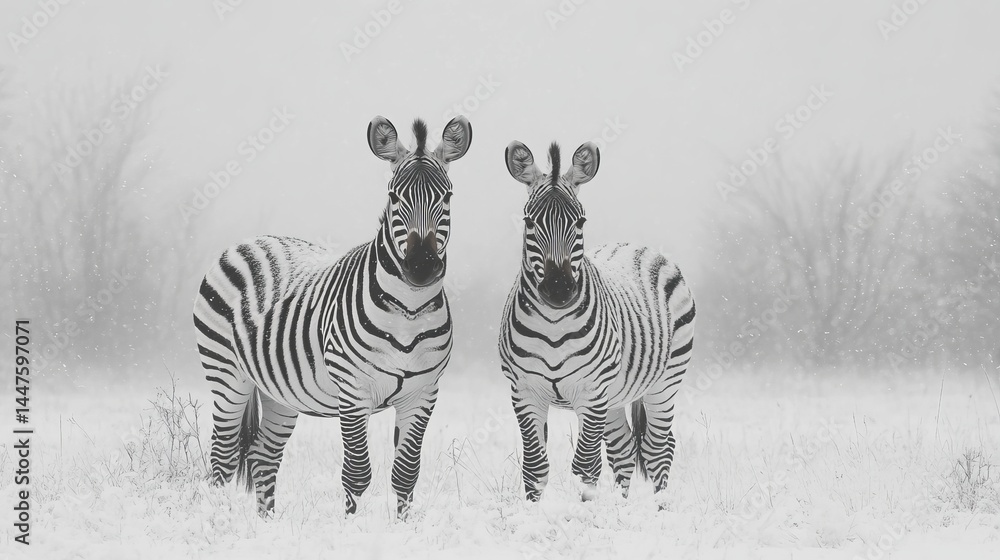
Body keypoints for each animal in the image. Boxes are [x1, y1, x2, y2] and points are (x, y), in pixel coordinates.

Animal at [193, 115, 472, 519]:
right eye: (394, 196)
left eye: (447, 196)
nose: (421, 267)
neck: (409, 310)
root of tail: (252, 239)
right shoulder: (353, 390)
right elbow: (357, 473)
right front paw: (350, 527)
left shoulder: (423, 392)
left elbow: (406, 473)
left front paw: (405, 528)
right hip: (226, 374)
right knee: (223, 456)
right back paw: (218, 518)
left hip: (279, 392)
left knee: (263, 456)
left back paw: (266, 524)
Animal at [498, 140, 696, 506]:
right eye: (529, 220)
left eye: (580, 221)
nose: (558, 290)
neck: (554, 324)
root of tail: (638, 245)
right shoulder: (524, 389)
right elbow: (535, 467)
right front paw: (532, 513)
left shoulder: (591, 390)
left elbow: (586, 466)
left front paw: (585, 514)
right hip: (616, 396)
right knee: (624, 448)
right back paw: (621, 507)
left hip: (665, 382)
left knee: (658, 447)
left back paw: (660, 508)